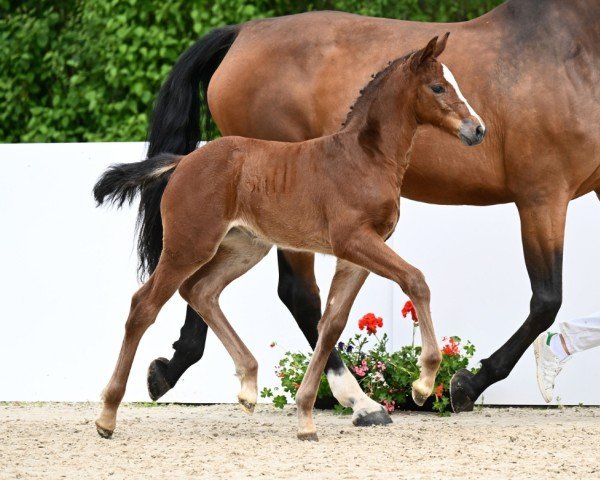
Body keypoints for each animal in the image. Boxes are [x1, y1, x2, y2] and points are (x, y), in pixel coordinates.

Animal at [96, 35, 486, 440]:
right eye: (438, 87)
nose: (477, 130)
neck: (365, 158)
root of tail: (183, 161)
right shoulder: (354, 240)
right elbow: (416, 280)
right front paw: (423, 385)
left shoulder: (358, 254)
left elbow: (330, 325)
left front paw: (308, 416)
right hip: (189, 245)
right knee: (144, 305)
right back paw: (107, 415)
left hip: (245, 248)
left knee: (200, 291)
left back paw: (249, 387)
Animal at [143, 0, 596, 416]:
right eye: (438, 87)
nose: (478, 129)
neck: (574, 52)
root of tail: (243, 32)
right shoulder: (542, 195)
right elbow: (546, 299)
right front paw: (465, 384)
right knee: (293, 294)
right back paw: (353, 396)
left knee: (206, 283)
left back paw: (173, 369)